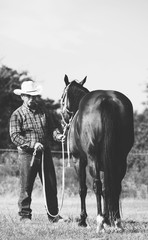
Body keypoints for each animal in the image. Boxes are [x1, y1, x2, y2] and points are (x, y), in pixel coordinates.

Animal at [60, 74, 134, 232]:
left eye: (62, 96)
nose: (64, 121)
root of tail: (107, 100)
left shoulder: (79, 161)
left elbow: (83, 189)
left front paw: (83, 220)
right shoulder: (106, 165)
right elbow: (107, 189)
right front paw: (108, 220)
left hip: (92, 159)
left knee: (97, 185)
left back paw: (100, 221)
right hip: (120, 159)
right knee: (116, 186)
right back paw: (117, 222)